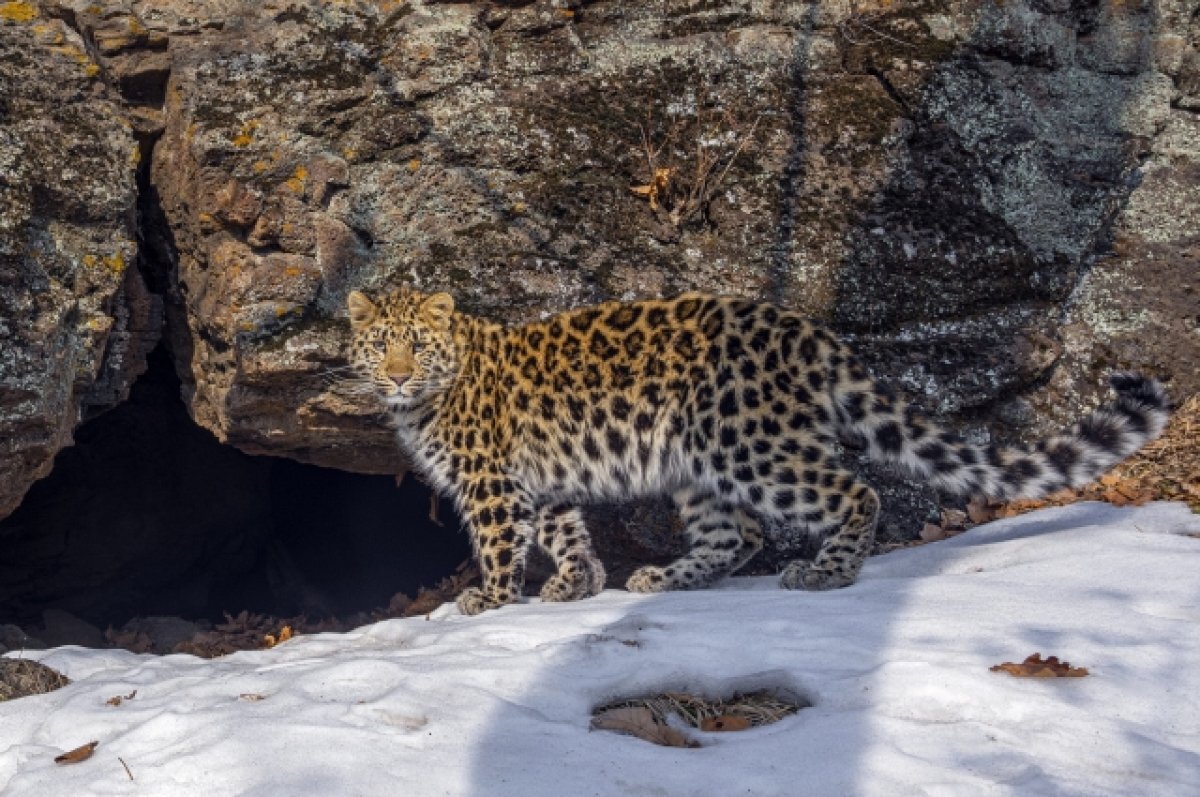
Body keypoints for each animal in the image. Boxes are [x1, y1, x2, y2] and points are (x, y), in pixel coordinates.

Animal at [343, 288, 1166, 614]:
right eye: (379, 345)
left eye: (415, 346)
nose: (397, 374)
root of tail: (806, 331)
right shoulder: (537, 480)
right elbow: (564, 530)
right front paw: (578, 584)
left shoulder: (490, 481)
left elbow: (496, 541)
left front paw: (486, 598)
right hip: (700, 461)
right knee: (737, 532)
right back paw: (662, 579)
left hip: (752, 447)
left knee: (851, 492)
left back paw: (826, 573)